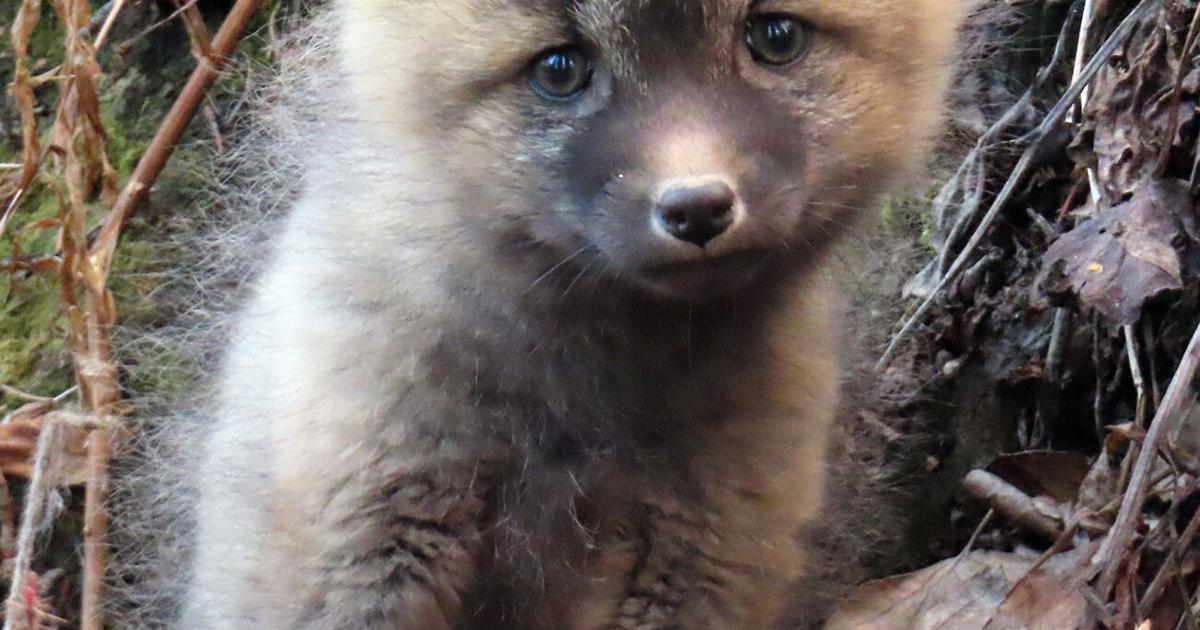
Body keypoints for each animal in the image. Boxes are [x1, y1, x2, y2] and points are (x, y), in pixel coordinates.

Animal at [176, 0, 964, 628]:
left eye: (775, 35)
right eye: (559, 69)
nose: (697, 207)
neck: (579, 407)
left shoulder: (713, 552)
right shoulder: (361, 524)